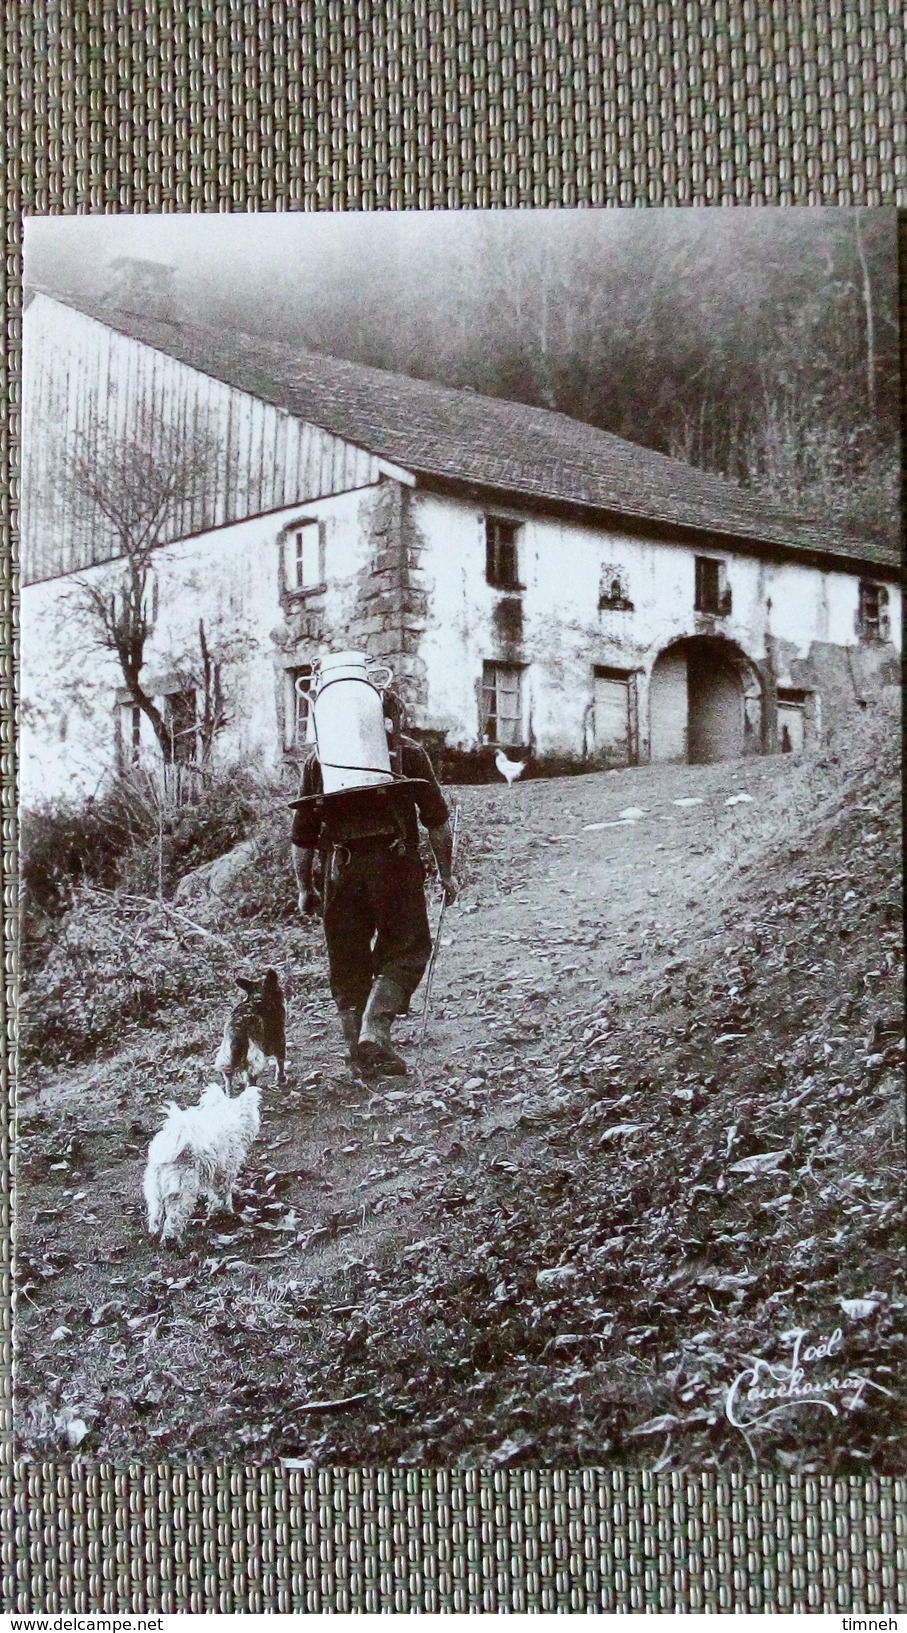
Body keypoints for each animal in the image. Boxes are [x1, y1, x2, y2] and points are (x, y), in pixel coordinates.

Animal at [143, 1077, 261, 1241]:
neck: (226, 1115)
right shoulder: (225, 1170)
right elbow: (223, 1193)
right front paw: (226, 1211)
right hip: (182, 1192)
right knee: (174, 1219)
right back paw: (172, 1240)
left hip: (154, 1190)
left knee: (155, 1214)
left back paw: (154, 1232)